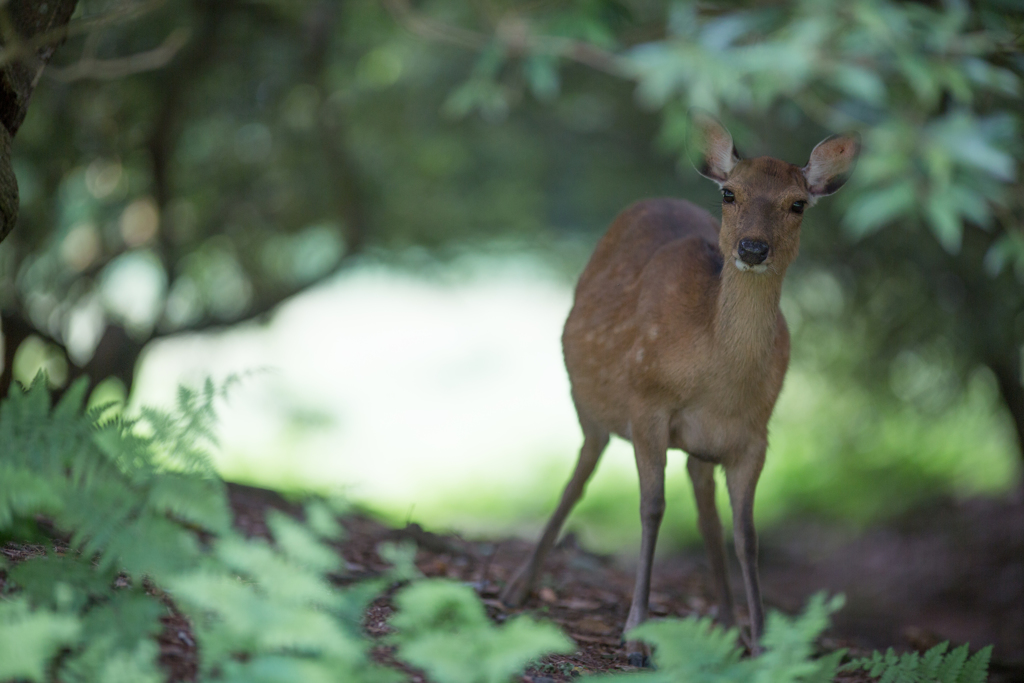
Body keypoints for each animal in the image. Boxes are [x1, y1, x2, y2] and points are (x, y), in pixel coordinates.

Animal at [499, 111, 860, 663]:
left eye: (797, 203)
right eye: (730, 194)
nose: (752, 248)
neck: (718, 382)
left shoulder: (755, 436)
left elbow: (747, 535)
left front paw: (762, 644)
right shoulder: (646, 405)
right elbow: (652, 510)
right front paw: (635, 636)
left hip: (697, 445)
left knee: (703, 500)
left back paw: (728, 621)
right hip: (589, 404)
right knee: (579, 473)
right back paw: (518, 586)